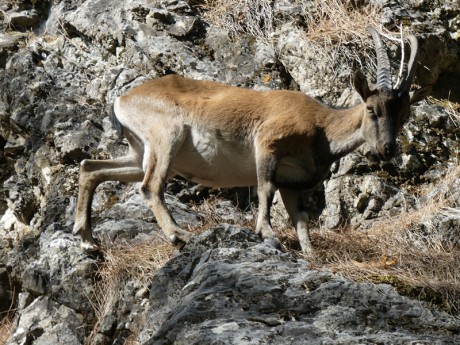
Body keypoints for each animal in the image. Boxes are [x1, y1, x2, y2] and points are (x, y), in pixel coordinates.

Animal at [73, 26, 430, 251]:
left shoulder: (293, 182)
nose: (386, 149)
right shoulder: (267, 143)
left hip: (139, 151)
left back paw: (87, 239)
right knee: (149, 186)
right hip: (166, 136)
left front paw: (309, 255)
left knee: (91, 167)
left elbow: (301, 220)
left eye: (404, 116)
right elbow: (264, 189)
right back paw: (178, 235)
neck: (322, 128)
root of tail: (123, 100)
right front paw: (267, 233)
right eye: (372, 109)